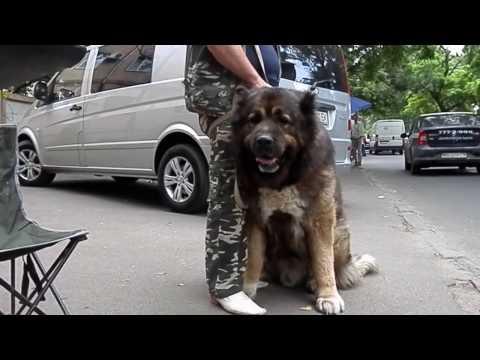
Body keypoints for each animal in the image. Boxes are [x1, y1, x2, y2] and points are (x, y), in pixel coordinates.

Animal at [232, 86, 378, 314]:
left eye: (283, 120)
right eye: (253, 120)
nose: (263, 141)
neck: (283, 179)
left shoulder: (320, 221)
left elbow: (323, 260)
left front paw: (328, 295)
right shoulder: (256, 219)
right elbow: (254, 257)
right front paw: (248, 289)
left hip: (340, 232)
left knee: (333, 268)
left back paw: (314, 282)